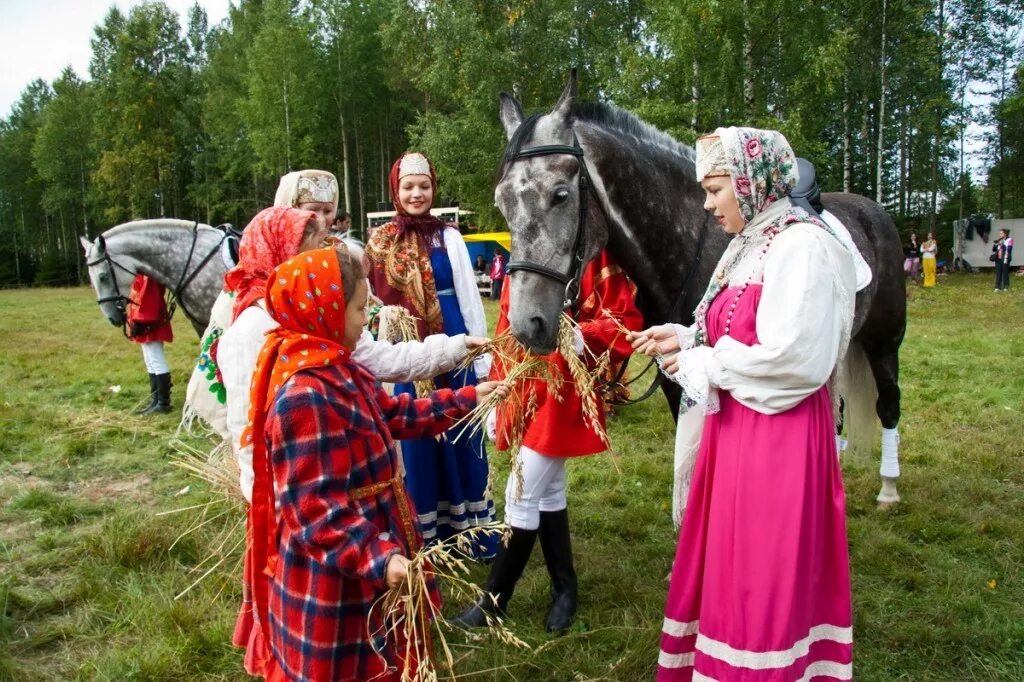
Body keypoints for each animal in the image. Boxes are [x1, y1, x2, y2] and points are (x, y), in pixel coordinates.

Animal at [493, 71, 905, 501]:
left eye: (560, 194)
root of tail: (873, 210)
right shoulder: (677, 377)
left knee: (889, 404)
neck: (690, 243)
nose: (527, 325)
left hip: (885, 340)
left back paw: (888, 489)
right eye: (501, 202)